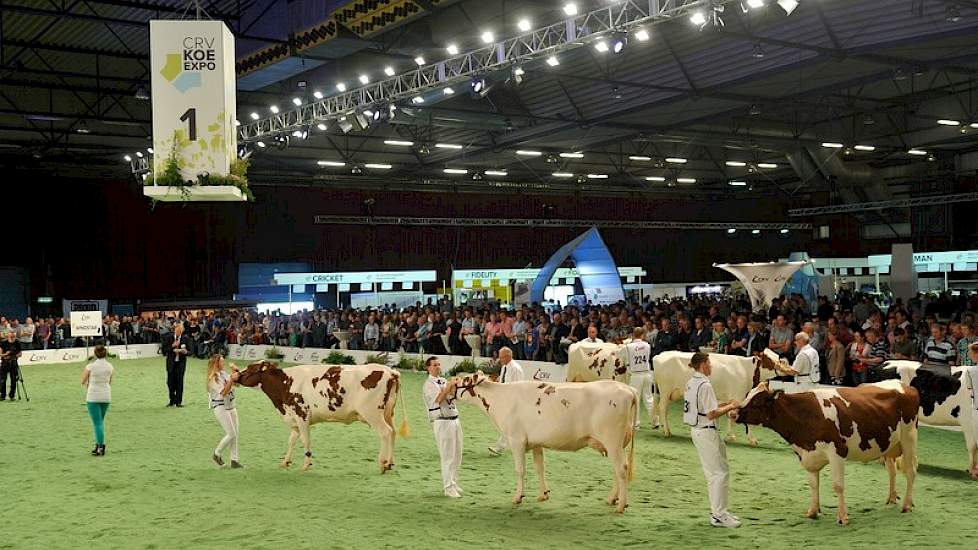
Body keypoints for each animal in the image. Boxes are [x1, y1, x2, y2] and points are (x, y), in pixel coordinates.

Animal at [236, 362, 408, 474]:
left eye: (250, 368)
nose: (236, 374)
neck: (284, 385)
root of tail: (391, 371)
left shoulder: (302, 415)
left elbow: (305, 440)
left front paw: (306, 465)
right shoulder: (294, 419)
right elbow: (291, 440)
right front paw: (285, 461)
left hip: (372, 413)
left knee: (385, 432)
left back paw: (383, 464)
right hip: (388, 413)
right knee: (393, 432)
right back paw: (390, 462)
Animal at [446, 374, 636, 516]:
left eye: (461, 381)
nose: (447, 390)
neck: (501, 399)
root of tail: (628, 389)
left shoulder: (516, 440)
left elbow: (520, 470)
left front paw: (518, 497)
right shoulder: (536, 442)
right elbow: (540, 467)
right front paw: (543, 495)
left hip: (612, 440)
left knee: (621, 469)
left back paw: (621, 505)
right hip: (619, 444)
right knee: (619, 469)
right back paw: (612, 499)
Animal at [648, 352, 784, 446]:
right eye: (769, 360)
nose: (783, 362)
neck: (746, 370)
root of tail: (659, 356)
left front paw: (732, 436)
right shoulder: (738, 396)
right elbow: (736, 418)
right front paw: (747, 439)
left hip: (672, 393)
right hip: (665, 390)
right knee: (662, 408)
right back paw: (667, 431)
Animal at [728, 380, 920, 528]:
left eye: (756, 402)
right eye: (747, 394)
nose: (733, 413)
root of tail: (904, 385)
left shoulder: (837, 452)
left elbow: (838, 486)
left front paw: (842, 517)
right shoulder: (808, 455)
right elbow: (813, 484)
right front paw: (813, 511)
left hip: (909, 438)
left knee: (910, 472)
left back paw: (907, 505)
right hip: (889, 444)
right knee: (892, 472)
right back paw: (891, 498)